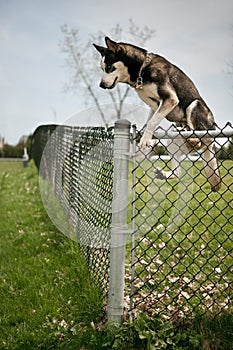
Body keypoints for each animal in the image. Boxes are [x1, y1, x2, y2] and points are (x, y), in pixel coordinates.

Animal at [93, 35, 220, 191]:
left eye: (109, 67)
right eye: (102, 68)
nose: (101, 85)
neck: (142, 69)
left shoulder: (170, 98)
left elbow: (153, 121)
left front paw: (145, 139)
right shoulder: (155, 105)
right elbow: (149, 120)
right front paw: (141, 135)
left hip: (195, 105)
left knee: (199, 137)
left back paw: (193, 137)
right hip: (172, 142)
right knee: (178, 172)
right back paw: (165, 172)